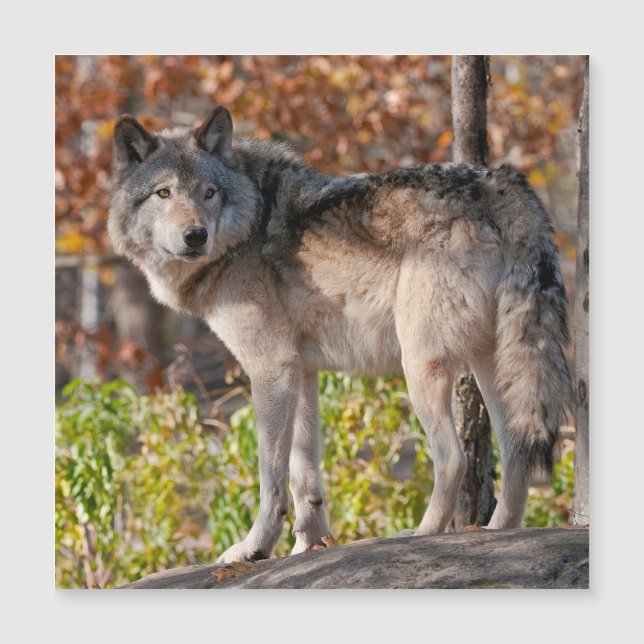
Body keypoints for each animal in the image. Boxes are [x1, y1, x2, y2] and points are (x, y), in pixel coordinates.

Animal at [108, 105, 572, 564]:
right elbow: (304, 474)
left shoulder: (270, 368)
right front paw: (306, 546)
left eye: (208, 193)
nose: (196, 236)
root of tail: (501, 183)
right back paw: (499, 531)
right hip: (493, 366)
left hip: (421, 366)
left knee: (454, 459)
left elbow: (270, 477)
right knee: (517, 452)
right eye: (164, 194)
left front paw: (255, 547)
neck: (249, 222)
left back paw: (420, 535)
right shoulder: (301, 371)